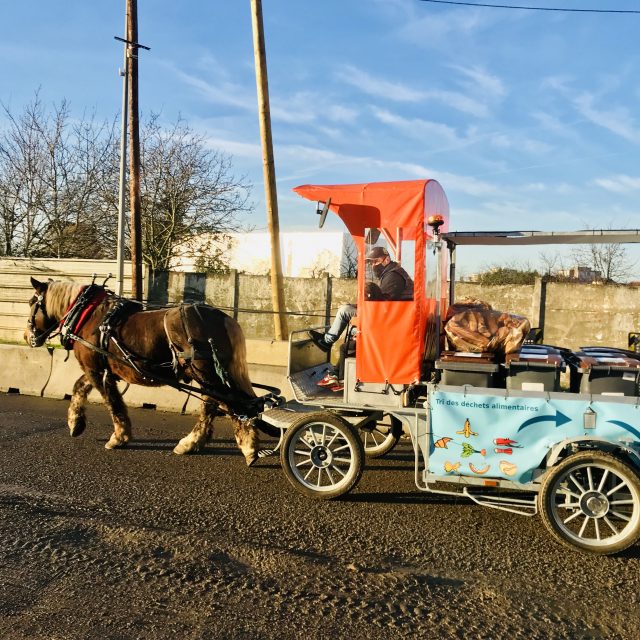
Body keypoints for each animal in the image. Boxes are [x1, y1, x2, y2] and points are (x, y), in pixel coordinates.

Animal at [25, 276, 268, 464]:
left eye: (31, 302)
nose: (27, 336)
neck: (87, 315)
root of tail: (225, 319)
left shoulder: (96, 369)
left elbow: (112, 403)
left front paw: (119, 437)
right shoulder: (100, 368)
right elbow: (79, 387)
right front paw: (75, 423)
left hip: (206, 373)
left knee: (224, 404)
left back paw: (245, 446)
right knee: (218, 404)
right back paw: (195, 443)